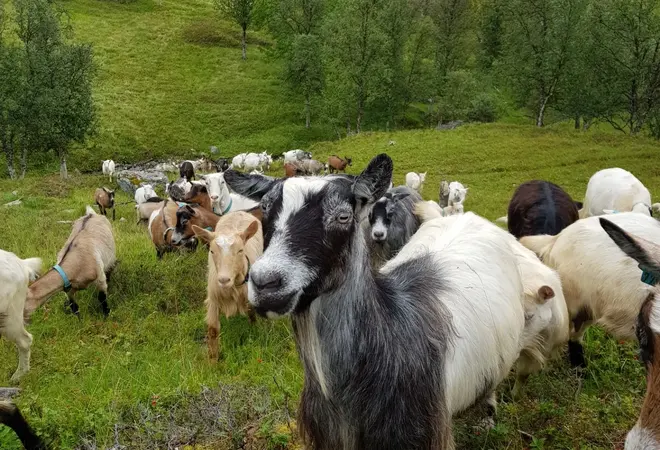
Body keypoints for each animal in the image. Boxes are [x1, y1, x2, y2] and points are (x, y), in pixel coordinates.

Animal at [191, 211, 262, 362]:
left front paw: (255, 331)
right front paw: (213, 361)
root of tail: (240, 212)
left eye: (240, 250)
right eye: (212, 251)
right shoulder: (213, 299)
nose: (224, 280)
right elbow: (213, 331)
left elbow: (252, 314)